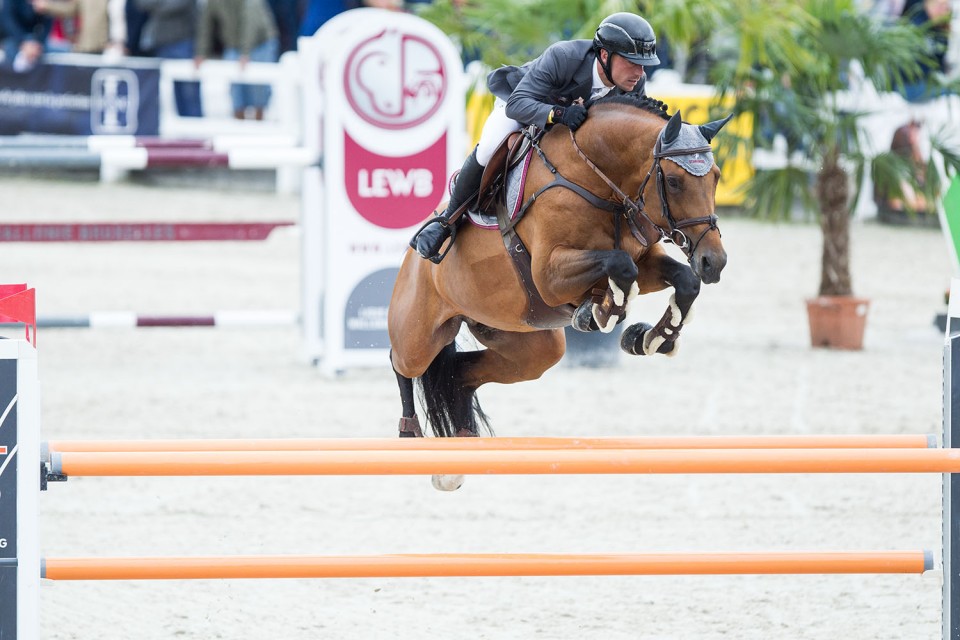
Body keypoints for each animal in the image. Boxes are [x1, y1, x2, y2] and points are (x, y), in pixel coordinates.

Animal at [386, 94, 732, 464]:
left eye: (716, 177)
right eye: (674, 182)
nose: (713, 263)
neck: (597, 181)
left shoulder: (644, 261)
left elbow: (680, 280)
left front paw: (650, 337)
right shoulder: (549, 276)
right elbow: (621, 266)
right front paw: (603, 313)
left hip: (531, 345)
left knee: (460, 375)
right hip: (420, 333)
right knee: (402, 361)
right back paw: (408, 431)